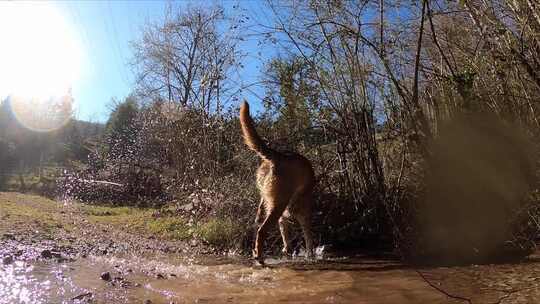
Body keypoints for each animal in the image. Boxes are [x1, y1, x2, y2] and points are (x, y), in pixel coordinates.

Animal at [238, 101, 314, 264]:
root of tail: (277, 156)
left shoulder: (284, 215)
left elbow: (285, 233)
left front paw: (287, 250)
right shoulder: (301, 210)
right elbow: (308, 234)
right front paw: (310, 254)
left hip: (267, 203)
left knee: (258, 225)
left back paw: (256, 252)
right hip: (279, 204)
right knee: (262, 231)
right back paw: (260, 257)